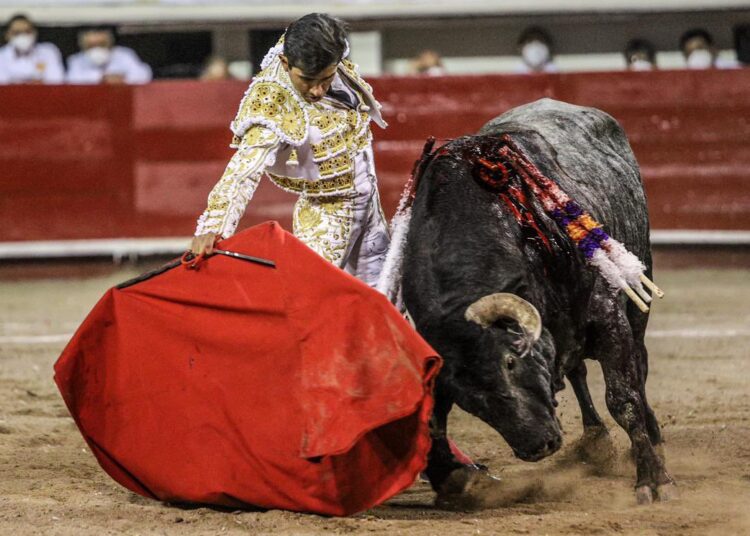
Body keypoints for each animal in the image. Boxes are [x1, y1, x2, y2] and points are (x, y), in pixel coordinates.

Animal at [390, 98, 675, 506]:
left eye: (511, 361)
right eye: (468, 399)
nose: (538, 446)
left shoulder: (608, 317)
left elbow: (624, 398)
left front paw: (652, 480)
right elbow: (431, 421)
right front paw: (453, 479)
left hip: (635, 302)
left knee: (638, 366)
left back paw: (651, 438)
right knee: (578, 371)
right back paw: (595, 440)